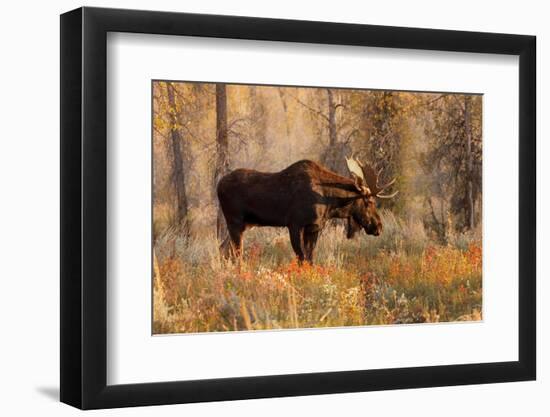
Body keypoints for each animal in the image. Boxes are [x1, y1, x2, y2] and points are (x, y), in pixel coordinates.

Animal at [218, 158, 398, 262]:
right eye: (369, 202)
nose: (379, 226)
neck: (329, 200)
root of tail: (218, 185)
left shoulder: (314, 227)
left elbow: (310, 258)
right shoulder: (295, 224)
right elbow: (302, 258)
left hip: (244, 225)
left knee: (223, 248)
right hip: (234, 222)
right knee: (236, 253)